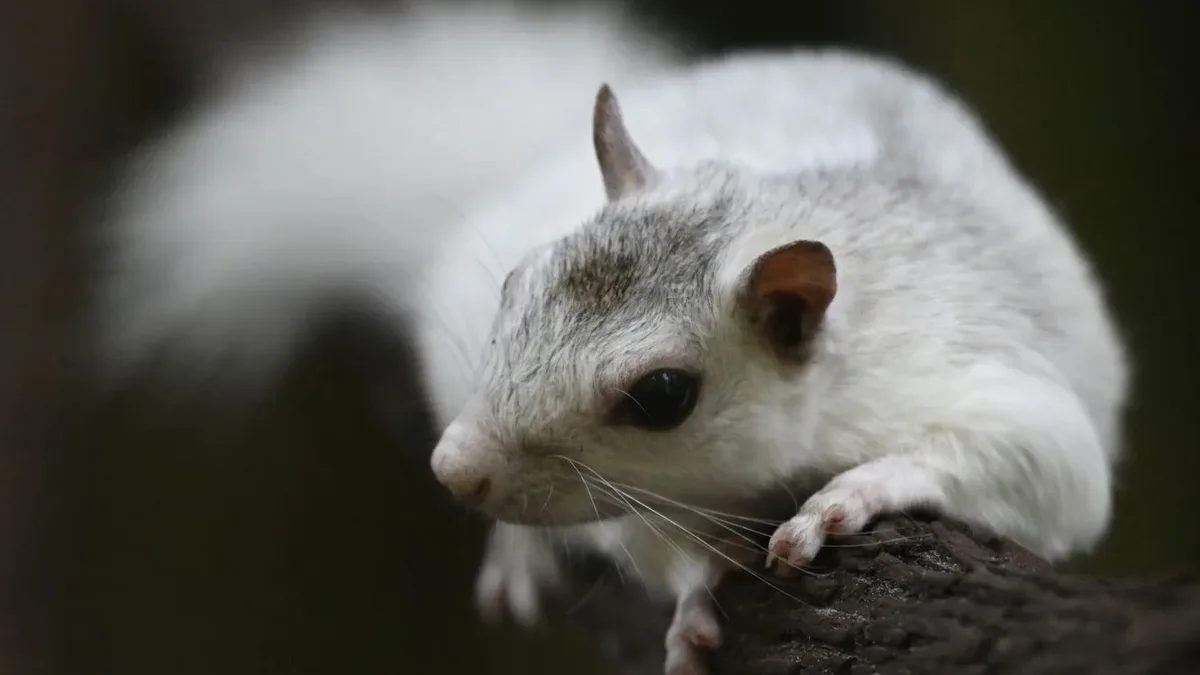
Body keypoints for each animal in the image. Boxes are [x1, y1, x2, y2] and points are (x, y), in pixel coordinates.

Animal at [93, 3, 1129, 674]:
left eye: (663, 395)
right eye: (514, 282)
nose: (456, 469)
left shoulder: (982, 371)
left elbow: (1045, 467)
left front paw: (847, 499)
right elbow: (654, 543)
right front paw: (696, 590)